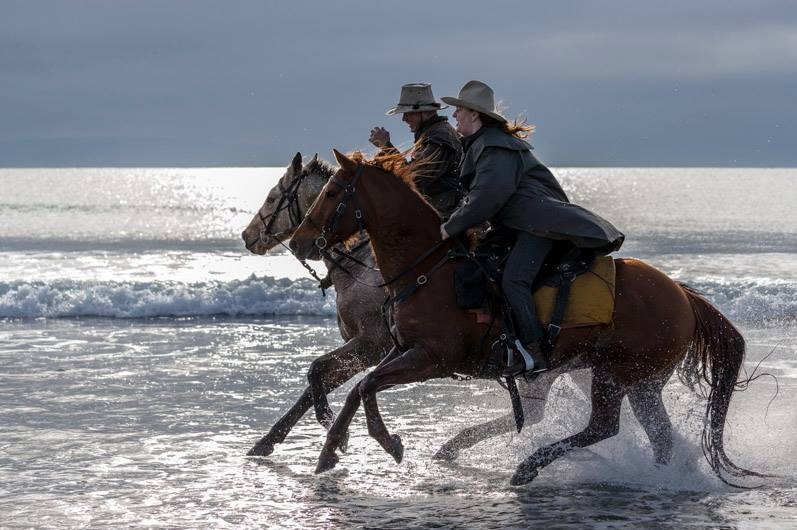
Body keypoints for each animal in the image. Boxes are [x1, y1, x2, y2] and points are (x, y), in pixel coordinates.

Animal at [239, 152, 676, 462]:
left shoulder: (376, 347)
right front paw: (286, 440)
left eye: (275, 196)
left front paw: (325, 427)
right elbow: (330, 381)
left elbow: (321, 374)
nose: (248, 236)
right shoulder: (386, 349)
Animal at [292, 147, 760, 482]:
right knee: (658, 438)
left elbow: (367, 385)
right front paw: (330, 450)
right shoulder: (400, 350)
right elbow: (359, 388)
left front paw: (387, 442)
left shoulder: (431, 358)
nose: (299, 241)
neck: (430, 268)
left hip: (614, 373)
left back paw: (528, 466)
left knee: (603, 426)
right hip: (643, 382)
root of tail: (682, 294)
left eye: (331, 193)